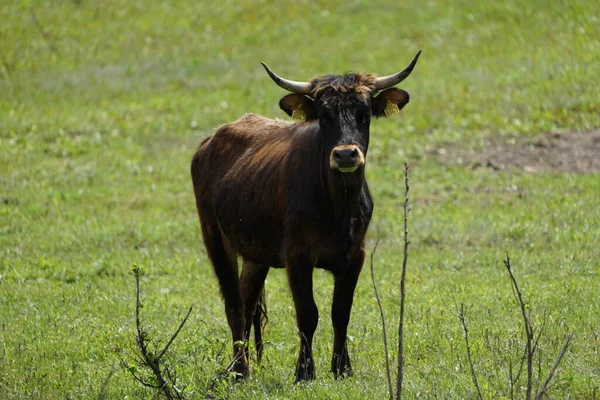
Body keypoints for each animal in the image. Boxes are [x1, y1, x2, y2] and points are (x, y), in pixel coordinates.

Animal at [190, 51, 420, 382]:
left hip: (256, 255)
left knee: (247, 303)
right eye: (323, 117)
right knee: (234, 305)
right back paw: (240, 370)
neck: (338, 207)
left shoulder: (355, 256)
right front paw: (304, 372)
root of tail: (211, 140)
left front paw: (342, 368)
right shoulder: (297, 257)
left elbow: (341, 312)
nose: (346, 155)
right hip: (216, 242)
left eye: (364, 115)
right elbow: (308, 313)